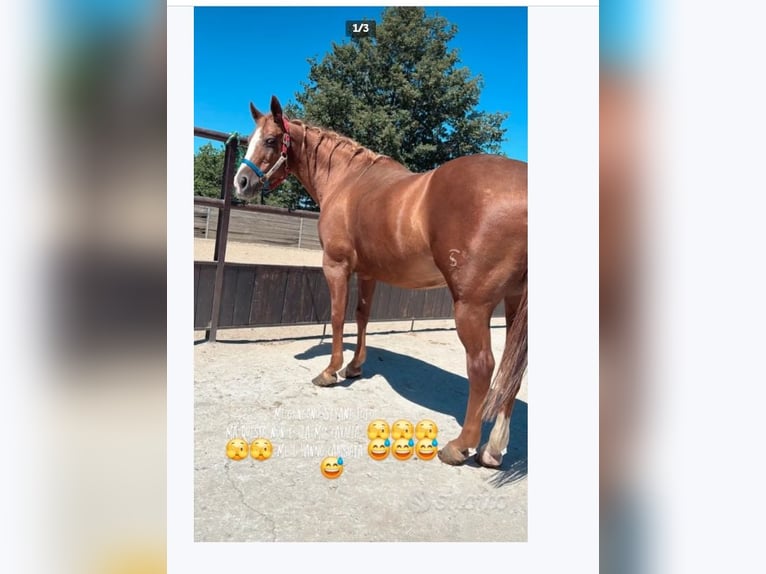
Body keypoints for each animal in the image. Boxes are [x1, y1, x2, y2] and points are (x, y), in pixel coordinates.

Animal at [233, 96, 527, 468]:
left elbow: (337, 317)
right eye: (250, 139)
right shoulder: (369, 273)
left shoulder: (336, 266)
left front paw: (330, 371)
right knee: (512, 369)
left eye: (271, 140)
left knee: (483, 366)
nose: (241, 182)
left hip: (472, 306)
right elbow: (362, 317)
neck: (346, 180)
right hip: (515, 302)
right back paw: (493, 448)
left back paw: (461, 445)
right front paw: (355, 367)